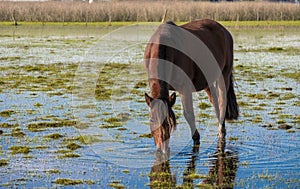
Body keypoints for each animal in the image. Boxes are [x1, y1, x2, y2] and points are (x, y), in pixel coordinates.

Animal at [144, 18, 238, 154]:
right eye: (151, 120)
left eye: (170, 123)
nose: (162, 150)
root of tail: (224, 31)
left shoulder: (185, 88)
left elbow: (188, 114)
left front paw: (196, 138)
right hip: (207, 80)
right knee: (215, 101)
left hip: (223, 75)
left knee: (222, 102)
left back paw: (221, 130)